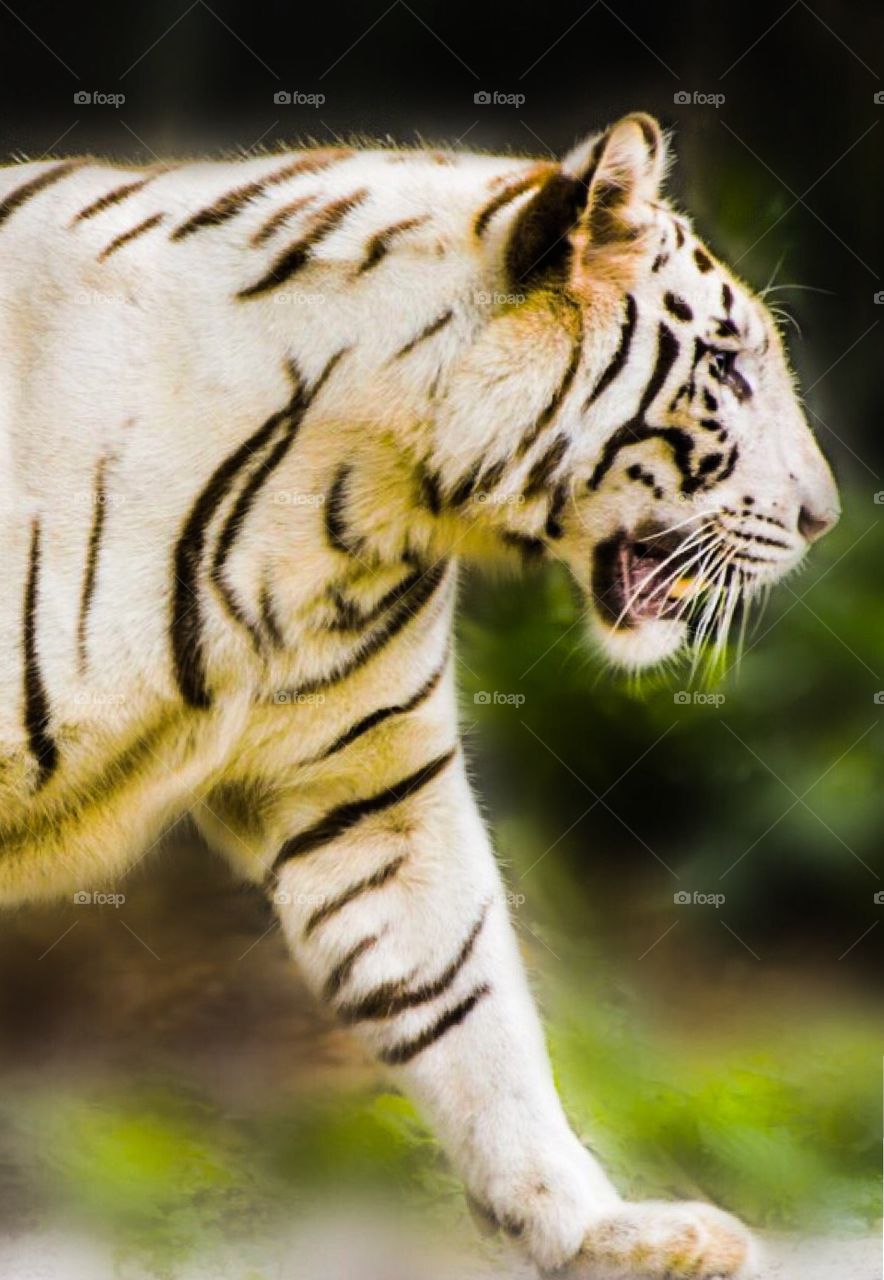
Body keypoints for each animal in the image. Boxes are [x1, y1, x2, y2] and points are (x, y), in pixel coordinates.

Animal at [0, 111, 838, 1278]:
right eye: (724, 365)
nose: (824, 517)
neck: (352, 497)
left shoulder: (368, 789)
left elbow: (465, 999)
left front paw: (596, 1228)